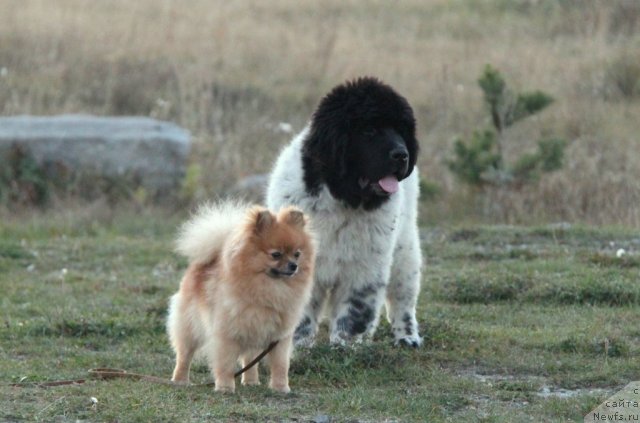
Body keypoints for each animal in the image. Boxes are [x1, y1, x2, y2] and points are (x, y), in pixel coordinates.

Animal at [266, 76, 422, 348]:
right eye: (369, 131)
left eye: (401, 130)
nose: (402, 155)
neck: (344, 200)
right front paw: (299, 345)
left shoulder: (366, 265)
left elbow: (356, 309)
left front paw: (345, 346)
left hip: (405, 247)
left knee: (403, 296)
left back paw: (407, 337)